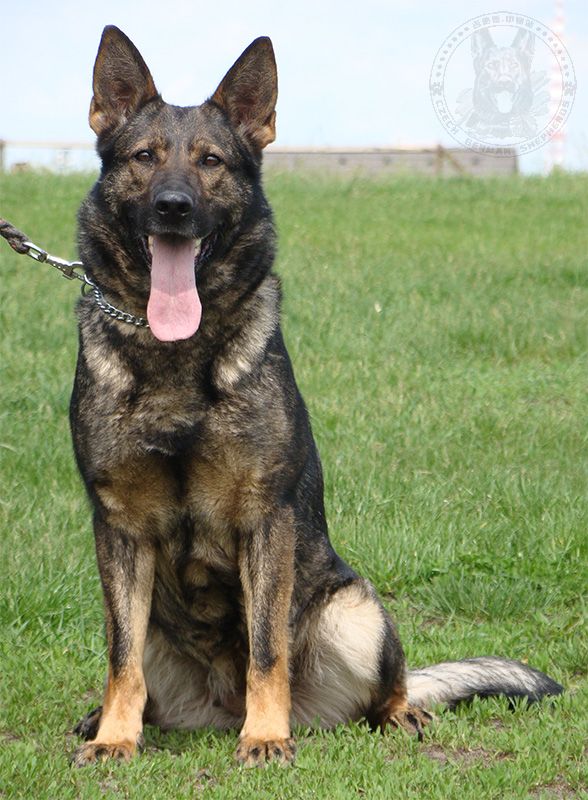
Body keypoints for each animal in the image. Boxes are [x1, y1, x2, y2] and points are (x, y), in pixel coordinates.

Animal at [69, 26, 562, 767]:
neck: (177, 352)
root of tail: (218, 710)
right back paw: (105, 719)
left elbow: (267, 649)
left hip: (357, 611)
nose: (173, 207)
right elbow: (120, 657)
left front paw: (267, 738)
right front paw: (115, 740)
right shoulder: (121, 527)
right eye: (144, 157)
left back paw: (394, 716)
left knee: (387, 689)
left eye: (211, 161)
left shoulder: (264, 520)